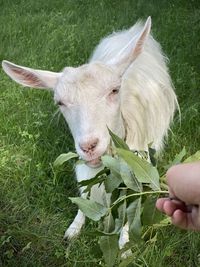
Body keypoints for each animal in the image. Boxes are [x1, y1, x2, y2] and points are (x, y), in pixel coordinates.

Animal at [1, 17, 178, 249]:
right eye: (60, 102)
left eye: (114, 90)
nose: (89, 146)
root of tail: (132, 29)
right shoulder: (85, 166)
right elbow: (84, 191)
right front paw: (73, 229)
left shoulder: (136, 165)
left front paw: (124, 244)